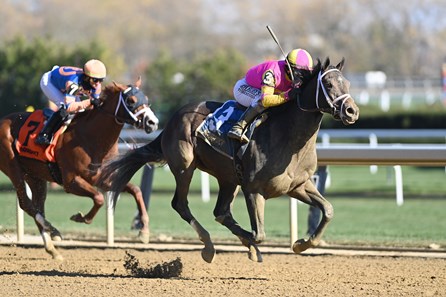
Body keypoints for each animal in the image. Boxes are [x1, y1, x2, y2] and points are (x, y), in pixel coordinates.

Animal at [0, 77, 159, 260]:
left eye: (146, 99)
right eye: (131, 101)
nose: (153, 122)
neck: (91, 137)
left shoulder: (102, 177)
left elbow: (136, 190)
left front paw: (144, 231)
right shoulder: (70, 181)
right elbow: (99, 197)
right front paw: (81, 217)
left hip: (35, 176)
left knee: (37, 206)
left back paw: (52, 248)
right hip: (13, 167)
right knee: (26, 203)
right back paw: (52, 229)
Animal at [100, 57, 358, 262]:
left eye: (347, 83)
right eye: (328, 84)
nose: (352, 111)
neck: (288, 137)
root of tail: (172, 119)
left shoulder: (298, 185)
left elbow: (328, 209)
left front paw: (301, 244)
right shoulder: (253, 189)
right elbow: (259, 234)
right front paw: (256, 245)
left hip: (228, 177)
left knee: (221, 211)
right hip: (185, 167)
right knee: (181, 204)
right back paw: (209, 247)